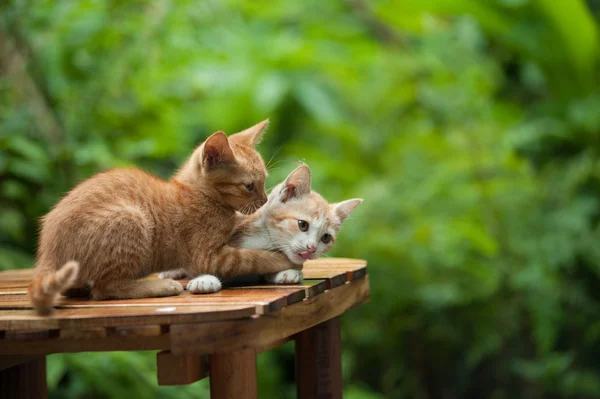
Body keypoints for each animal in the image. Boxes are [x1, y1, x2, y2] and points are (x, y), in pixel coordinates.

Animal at [28, 120, 296, 314]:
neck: (200, 195)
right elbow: (254, 257)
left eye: (264, 182)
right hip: (131, 218)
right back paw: (159, 286)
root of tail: (47, 250)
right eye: (249, 186)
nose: (263, 200)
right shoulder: (208, 257)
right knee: (105, 288)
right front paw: (283, 260)